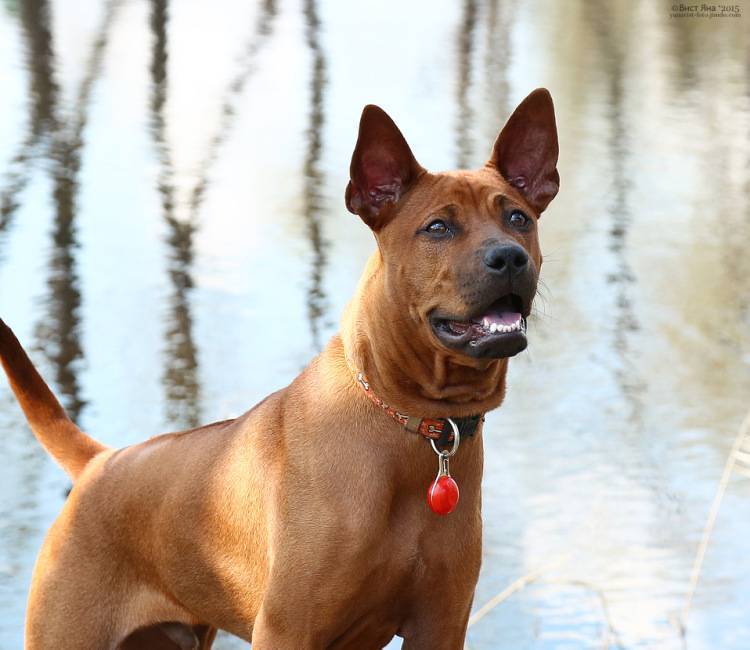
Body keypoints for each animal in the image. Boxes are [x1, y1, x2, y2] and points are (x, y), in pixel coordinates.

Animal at [0, 87, 560, 648]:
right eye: (438, 227)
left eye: (518, 219)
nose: (508, 258)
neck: (414, 427)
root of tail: (101, 462)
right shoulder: (288, 625)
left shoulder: (441, 622)